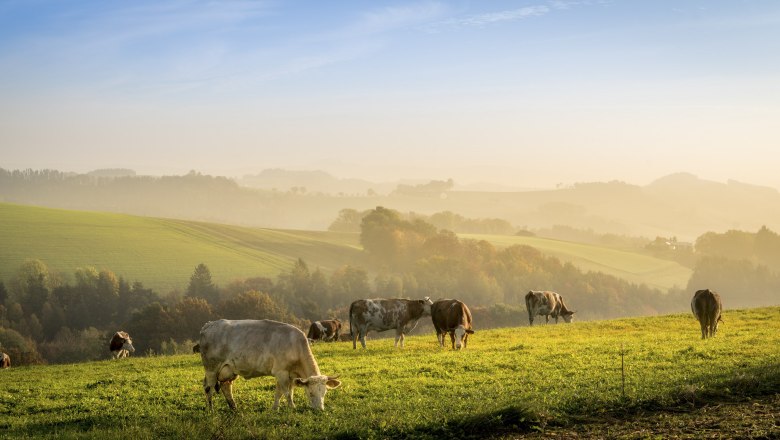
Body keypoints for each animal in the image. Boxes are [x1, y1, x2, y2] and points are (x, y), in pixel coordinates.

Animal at [197, 318, 340, 410]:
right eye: (310, 393)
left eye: (324, 393)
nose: (320, 409)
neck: (295, 345)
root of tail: (209, 324)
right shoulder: (281, 372)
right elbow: (286, 393)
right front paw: (292, 408)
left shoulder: (290, 375)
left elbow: (280, 392)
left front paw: (275, 408)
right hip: (211, 368)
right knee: (208, 388)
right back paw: (211, 411)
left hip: (228, 370)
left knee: (226, 387)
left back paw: (234, 409)